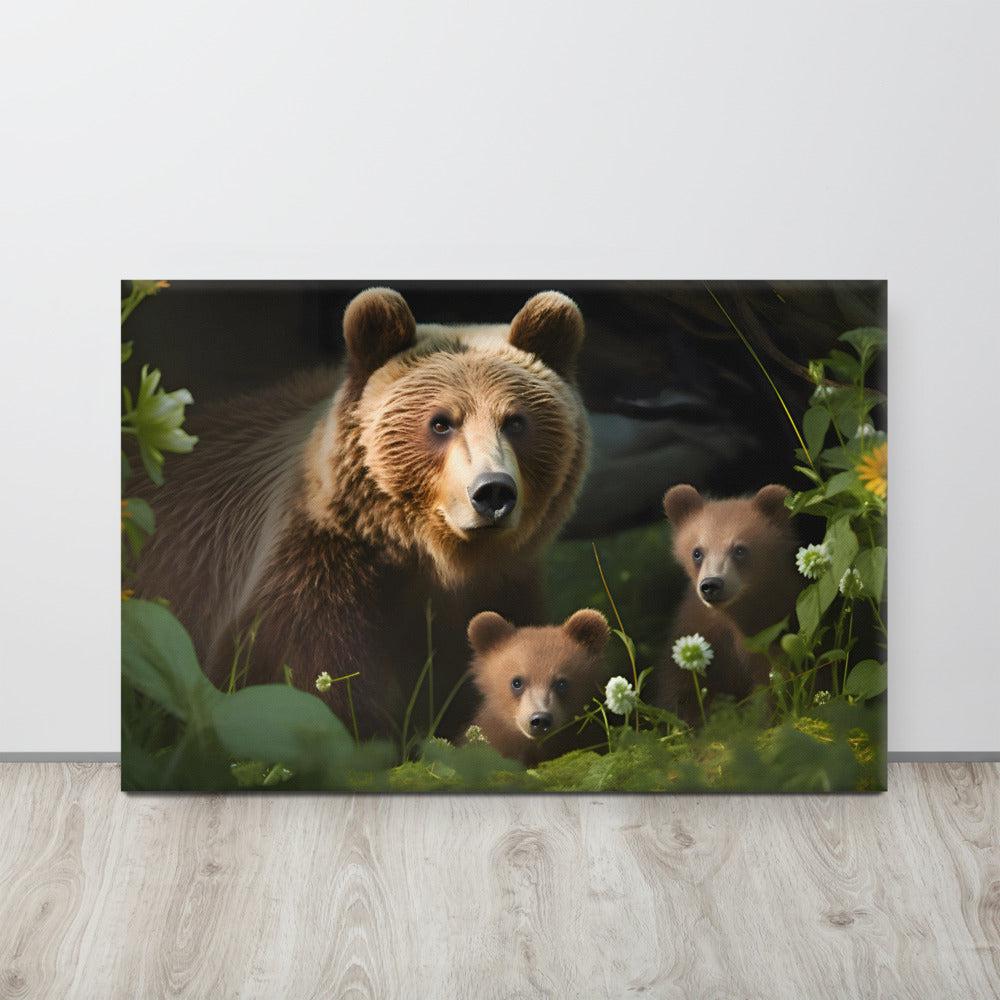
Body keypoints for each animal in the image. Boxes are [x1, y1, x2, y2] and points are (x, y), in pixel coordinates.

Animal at [134, 287, 590, 741]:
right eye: (441, 422)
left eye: (515, 421)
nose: (492, 491)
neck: (430, 559)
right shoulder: (316, 579)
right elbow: (304, 682)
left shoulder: (502, 588)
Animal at [653, 484, 801, 724]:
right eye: (697, 552)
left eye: (739, 549)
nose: (711, 584)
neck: (733, 616)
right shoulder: (700, 629)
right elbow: (681, 689)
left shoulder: (772, 628)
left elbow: (775, 685)